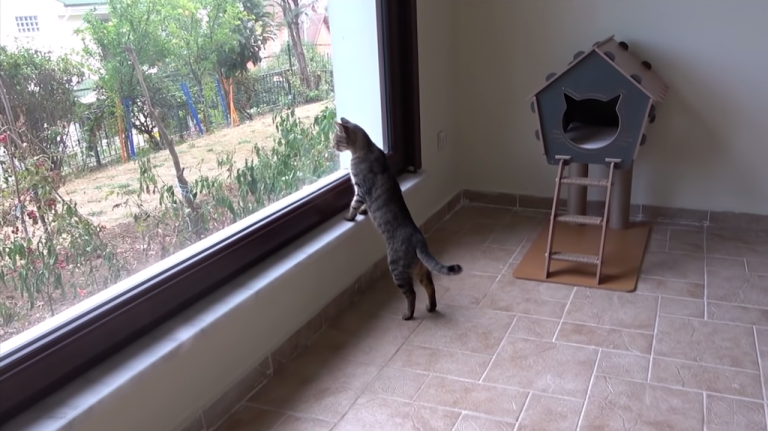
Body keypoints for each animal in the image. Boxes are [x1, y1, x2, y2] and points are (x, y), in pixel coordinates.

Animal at [330, 118, 462, 320]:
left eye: (336, 139)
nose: (331, 146)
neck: (364, 150)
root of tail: (419, 240)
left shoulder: (361, 189)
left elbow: (354, 204)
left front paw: (349, 216)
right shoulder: (364, 194)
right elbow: (363, 206)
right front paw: (363, 212)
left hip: (396, 268)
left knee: (412, 294)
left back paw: (407, 315)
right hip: (421, 269)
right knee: (430, 286)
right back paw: (430, 307)